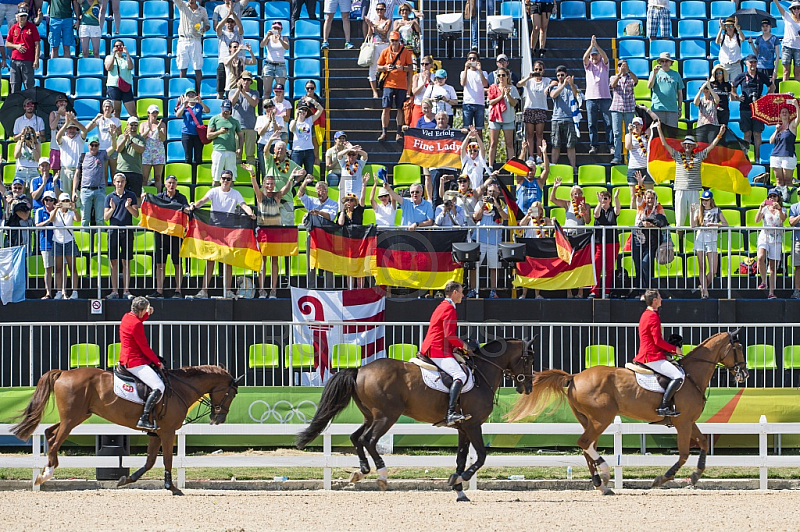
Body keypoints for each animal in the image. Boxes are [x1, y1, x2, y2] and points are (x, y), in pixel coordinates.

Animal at [10, 366, 239, 494]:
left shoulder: (155, 433)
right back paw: (46, 473)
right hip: (72, 419)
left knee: (49, 433)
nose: (218, 419)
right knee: (55, 440)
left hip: (77, 417)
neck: (180, 388)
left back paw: (45, 472)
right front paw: (172, 488)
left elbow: (149, 462)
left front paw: (125, 480)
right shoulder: (167, 432)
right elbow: (166, 460)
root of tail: (64, 373)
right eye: (232, 394)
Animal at [296, 338, 536, 500]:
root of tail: (360, 369)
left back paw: (361, 471)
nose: (528, 387)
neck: (481, 374)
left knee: (356, 438)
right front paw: (463, 478)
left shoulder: (463, 427)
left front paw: (458, 488)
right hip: (387, 416)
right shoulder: (473, 424)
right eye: (529, 359)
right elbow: (481, 457)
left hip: (371, 415)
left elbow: (461, 458)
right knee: (368, 440)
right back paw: (381, 475)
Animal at [510, 328, 748, 494]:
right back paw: (605, 474)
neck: (691, 376)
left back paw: (601, 484)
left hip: (589, 420)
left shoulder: (689, 421)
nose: (744, 373)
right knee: (585, 443)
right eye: (738, 348)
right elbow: (683, 454)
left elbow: (704, 444)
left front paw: (696, 476)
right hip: (601, 419)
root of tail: (575, 376)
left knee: (587, 447)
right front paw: (662, 479)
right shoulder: (683, 423)